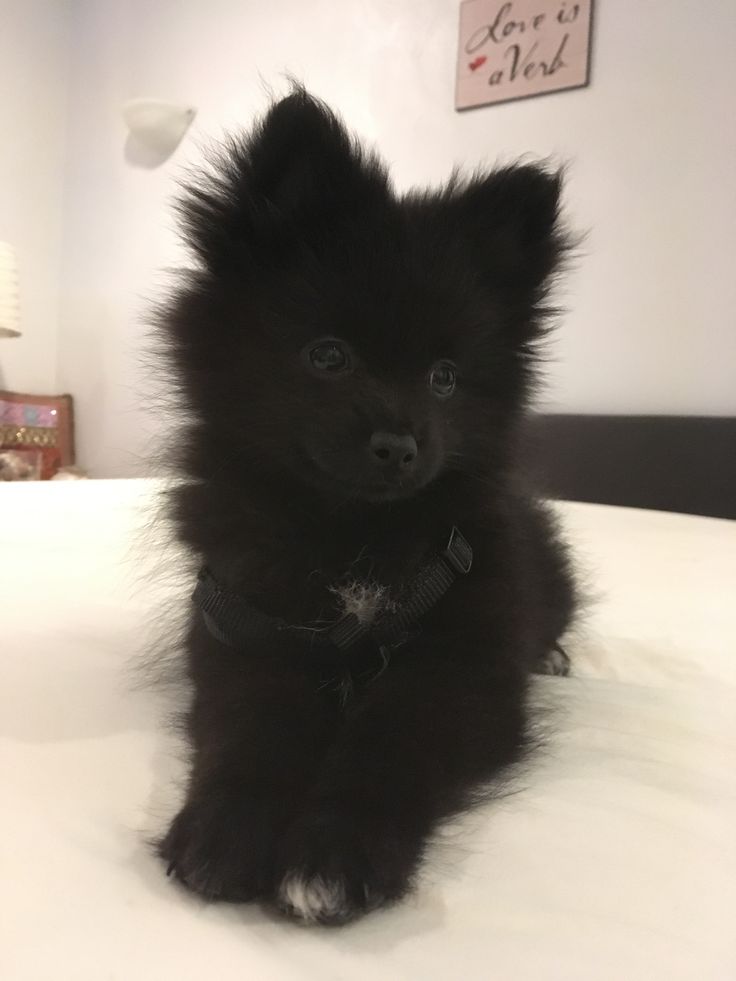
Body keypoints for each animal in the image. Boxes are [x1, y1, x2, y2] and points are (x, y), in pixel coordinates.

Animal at [158, 88, 576, 924]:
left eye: (445, 377)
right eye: (329, 355)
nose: (400, 442)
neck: (349, 532)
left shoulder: (466, 664)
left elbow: (390, 741)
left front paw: (333, 857)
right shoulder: (243, 631)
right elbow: (251, 732)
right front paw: (224, 831)